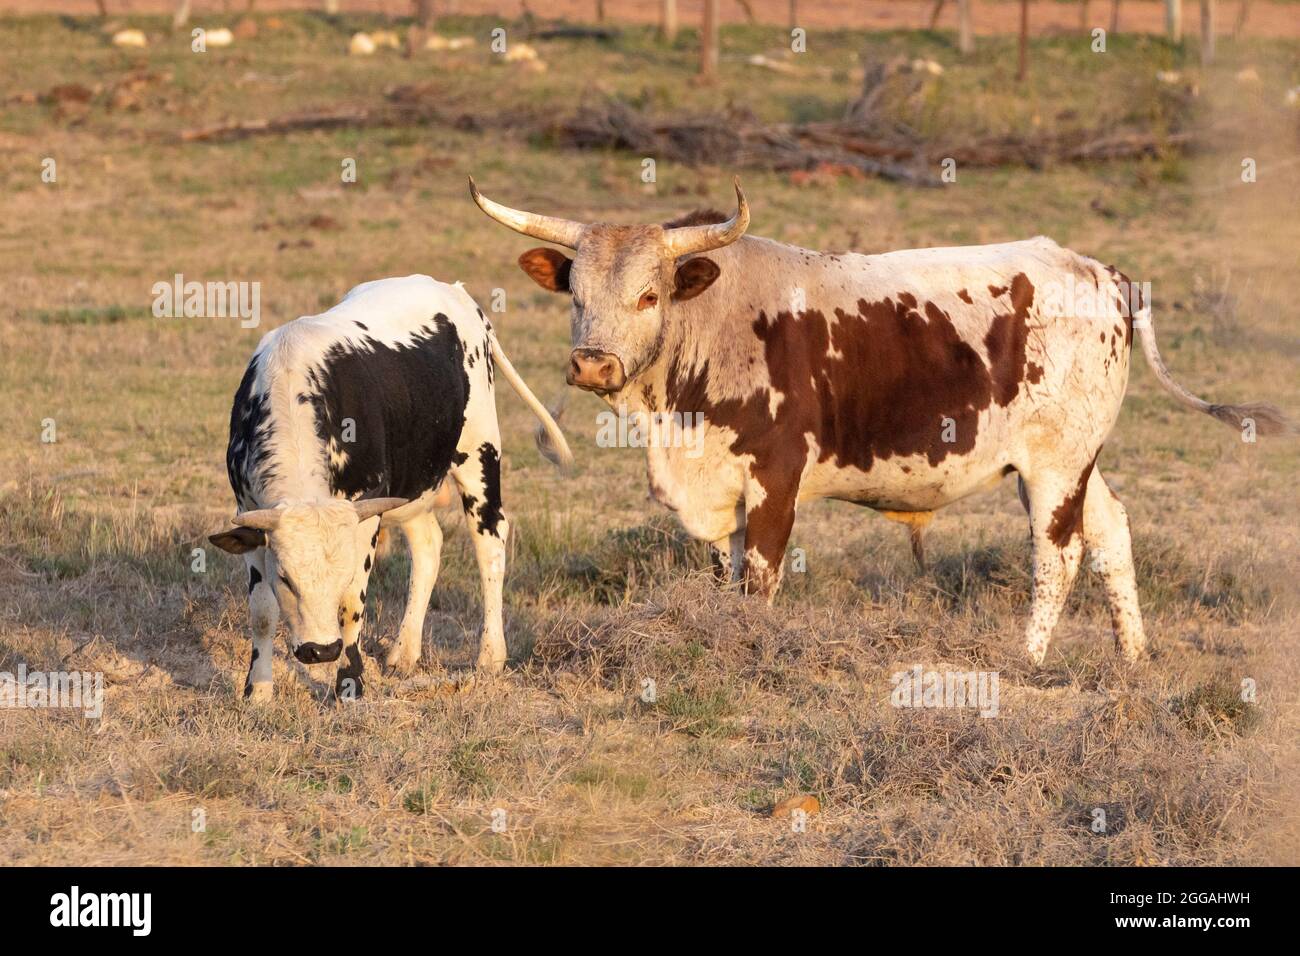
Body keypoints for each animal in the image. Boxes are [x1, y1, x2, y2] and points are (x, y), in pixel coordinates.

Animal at [470, 178, 1289, 665]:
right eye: (577, 293)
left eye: (649, 295)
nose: (592, 365)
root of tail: (1100, 272)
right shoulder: (718, 487)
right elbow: (723, 574)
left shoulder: (776, 478)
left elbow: (760, 577)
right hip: (1075, 460)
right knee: (1112, 530)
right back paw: (1133, 656)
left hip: (1056, 465)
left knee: (1057, 555)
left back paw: (1026, 661)